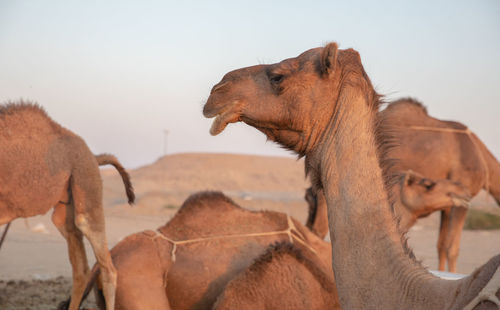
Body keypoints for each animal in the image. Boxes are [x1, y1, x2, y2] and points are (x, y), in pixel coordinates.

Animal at [378, 98, 500, 272]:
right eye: (428, 184)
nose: (461, 188)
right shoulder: (463, 200)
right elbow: (452, 249)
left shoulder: (447, 207)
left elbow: (441, 246)